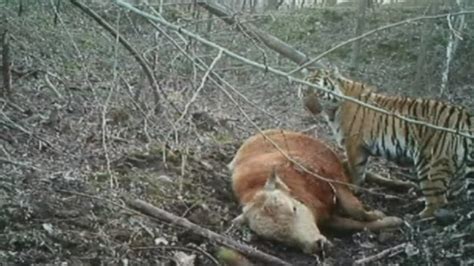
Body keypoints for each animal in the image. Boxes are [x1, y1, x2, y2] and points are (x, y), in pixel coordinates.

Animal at [300, 67, 474, 218]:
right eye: (305, 90)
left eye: (319, 91)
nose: (307, 106)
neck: (334, 108)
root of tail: (465, 115)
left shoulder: (354, 144)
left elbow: (356, 169)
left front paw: (354, 188)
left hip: (430, 163)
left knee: (438, 200)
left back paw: (419, 216)